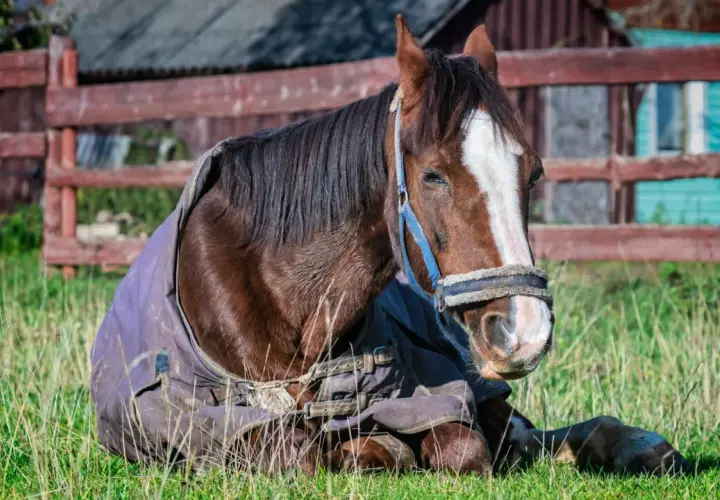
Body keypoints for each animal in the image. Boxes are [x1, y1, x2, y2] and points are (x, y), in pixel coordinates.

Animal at [90, 16, 690, 475]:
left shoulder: (439, 395)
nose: (525, 332)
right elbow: (305, 452)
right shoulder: (223, 427)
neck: (284, 298)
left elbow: (465, 446)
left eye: (534, 172)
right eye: (433, 176)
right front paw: (373, 446)